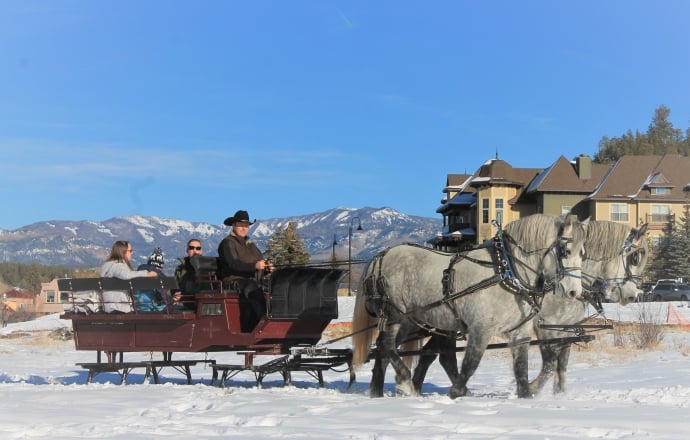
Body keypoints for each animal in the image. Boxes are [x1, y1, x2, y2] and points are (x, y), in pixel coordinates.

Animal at [351, 213, 588, 398]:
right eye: (565, 251)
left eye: (582, 253)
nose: (574, 292)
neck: (508, 270)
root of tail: (380, 255)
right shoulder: (481, 329)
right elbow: (470, 364)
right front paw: (456, 393)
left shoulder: (519, 332)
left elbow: (522, 370)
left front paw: (528, 394)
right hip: (395, 315)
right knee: (388, 345)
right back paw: (406, 383)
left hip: (410, 321)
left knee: (383, 348)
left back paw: (378, 391)